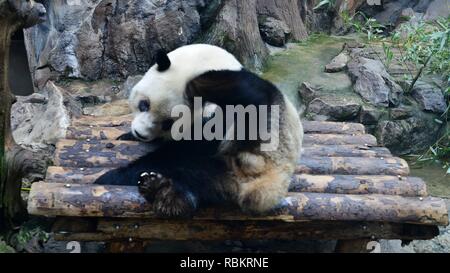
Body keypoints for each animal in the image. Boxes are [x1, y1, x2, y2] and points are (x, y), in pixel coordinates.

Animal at [96, 43, 304, 217]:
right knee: (197, 181)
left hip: (260, 145)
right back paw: (162, 192)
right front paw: (128, 136)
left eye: (167, 123)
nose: (141, 133)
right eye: (144, 105)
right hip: (221, 177)